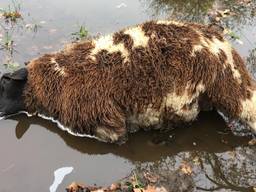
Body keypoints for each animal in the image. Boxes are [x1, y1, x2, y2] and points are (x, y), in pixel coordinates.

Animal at [0, 20, 256, 143]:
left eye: (3, 83)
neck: (57, 78)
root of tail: (223, 46)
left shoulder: (105, 124)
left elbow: (120, 136)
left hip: (230, 92)